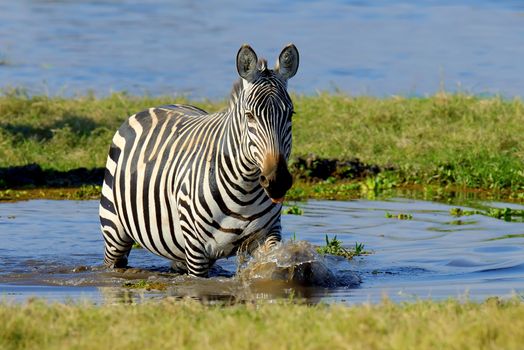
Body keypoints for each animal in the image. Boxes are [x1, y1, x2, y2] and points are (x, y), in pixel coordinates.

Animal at [98, 43, 298, 278]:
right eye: (249, 116)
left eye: (291, 115)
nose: (277, 181)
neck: (246, 188)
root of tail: (156, 106)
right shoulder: (196, 249)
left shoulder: (268, 234)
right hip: (114, 231)